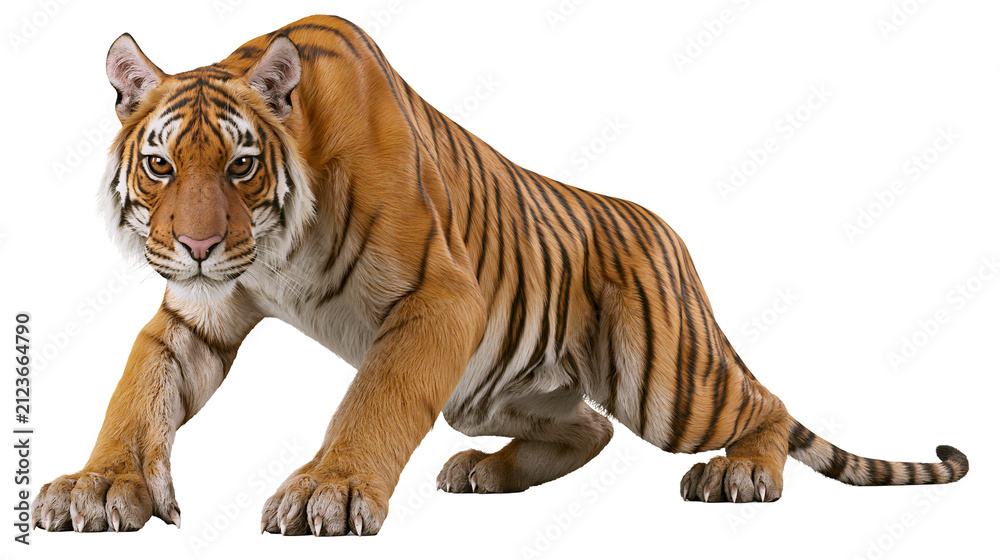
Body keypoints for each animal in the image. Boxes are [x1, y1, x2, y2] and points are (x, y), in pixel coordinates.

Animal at [32, 15, 968, 536]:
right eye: (160, 166)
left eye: (239, 166)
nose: (192, 246)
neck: (272, 247)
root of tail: (668, 237)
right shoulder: (197, 311)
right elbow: (138, 392)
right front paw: (101, 486)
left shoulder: (441, 299)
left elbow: (375, 398)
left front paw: (328, 492)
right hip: (491, 388)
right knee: (588, 429)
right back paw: (485, 471)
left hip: (669, 380)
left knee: (763, 406)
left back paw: (743, 476)